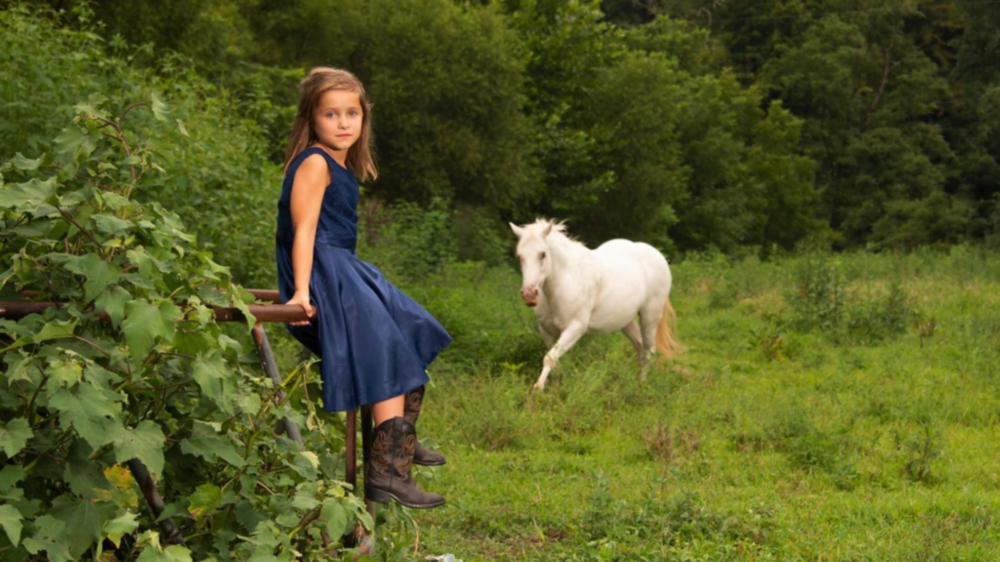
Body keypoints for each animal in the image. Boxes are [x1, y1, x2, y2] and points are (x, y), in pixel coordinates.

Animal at [508, 219, 680, 390]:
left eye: (542, 254)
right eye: (519, 256)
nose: (529, 295)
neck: (563, 281)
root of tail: (658, 256)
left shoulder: (575, 328)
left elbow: (549, 358)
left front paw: (537, 389)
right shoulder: (546, 331)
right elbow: (554, 360)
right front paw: (556, 388)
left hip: (649, 317)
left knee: (648, 351)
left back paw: (641, 384)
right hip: (625, 320)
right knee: (639, 345)